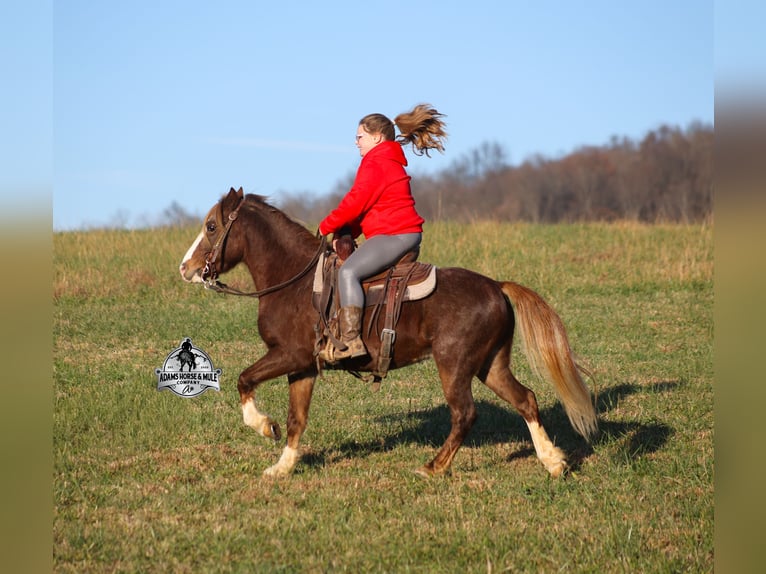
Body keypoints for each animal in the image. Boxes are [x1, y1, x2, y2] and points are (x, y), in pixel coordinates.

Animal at [179, 187, 598, 478]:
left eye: (212, 226)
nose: (186, 268)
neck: (294, 279)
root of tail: (496, 286)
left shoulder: (288, 356)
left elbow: (244, 379)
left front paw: (265, 427)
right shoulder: (303, 367)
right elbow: (297, 419)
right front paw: (282, 467)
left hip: (454, 366)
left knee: (465, 414)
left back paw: (434, 467)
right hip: (490, 365)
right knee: (526, 399)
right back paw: (553, 462)